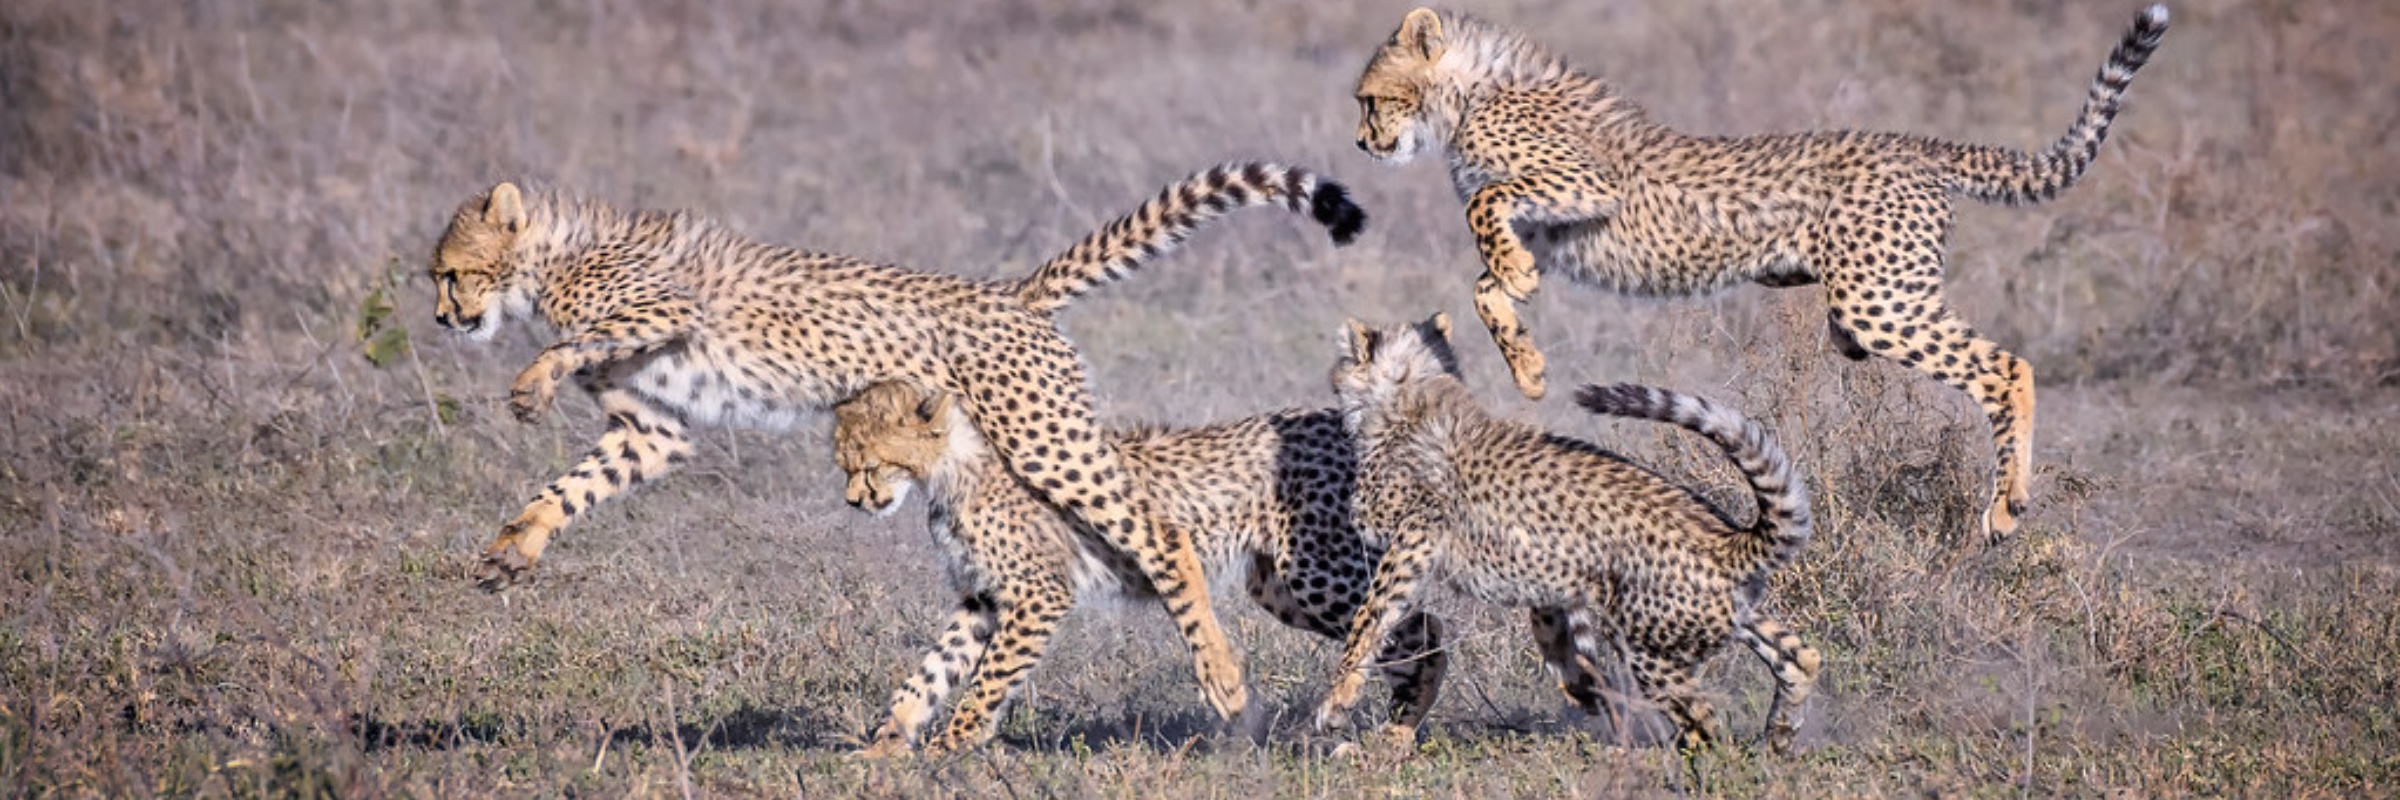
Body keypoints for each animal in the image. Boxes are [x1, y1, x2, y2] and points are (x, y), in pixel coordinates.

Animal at [425, 161, 1367, 732]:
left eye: (450, 271)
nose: (441, 318)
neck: (551, 261)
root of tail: (1009, 293)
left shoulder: (668, 311)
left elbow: (573, 344)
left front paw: (532, 380)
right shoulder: (651, 429)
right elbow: (575, 486)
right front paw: (515, 548)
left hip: (1046, 441)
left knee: (1164, 536)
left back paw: (1223, 679)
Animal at [831, 379, 1446, 755]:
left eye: (870, 463)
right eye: (844, 465)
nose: (854, 501)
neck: (948, 466)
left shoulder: (1038, 594)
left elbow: (989, 679)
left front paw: (952, 744)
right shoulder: (984, 599)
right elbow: (930, 672)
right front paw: (886, 745)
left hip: (1317, 571)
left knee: (1416, 625)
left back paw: (1395, 730)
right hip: (1279, 586)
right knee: (1408, 625)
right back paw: (1397, 729)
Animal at [1312, 313, 1821, 754]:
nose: (1331, 379)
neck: (1409, 395)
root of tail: (1730, 540)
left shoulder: (1411, 543)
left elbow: (1369, 618)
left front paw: (1335, 705)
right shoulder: (1550, 570)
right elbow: (1553, 631)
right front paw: (1582, 685)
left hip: (1643, 640)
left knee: (1704, 722)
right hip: (1720, 614)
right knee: (1800, 658)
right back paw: (1779, 735)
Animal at [1350, 5, 2171, 540]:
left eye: (1370, 98)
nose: (1361, 143)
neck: (1469, 95)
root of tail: (1910, 143)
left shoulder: (1586, 186)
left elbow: (1483, 205)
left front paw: (1514, 298)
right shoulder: (1554, 230)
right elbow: (1485, 286)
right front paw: (1525, 364)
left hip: (1879, 301)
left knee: (2006, 367)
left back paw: (2006, 506)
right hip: (1865, 310)